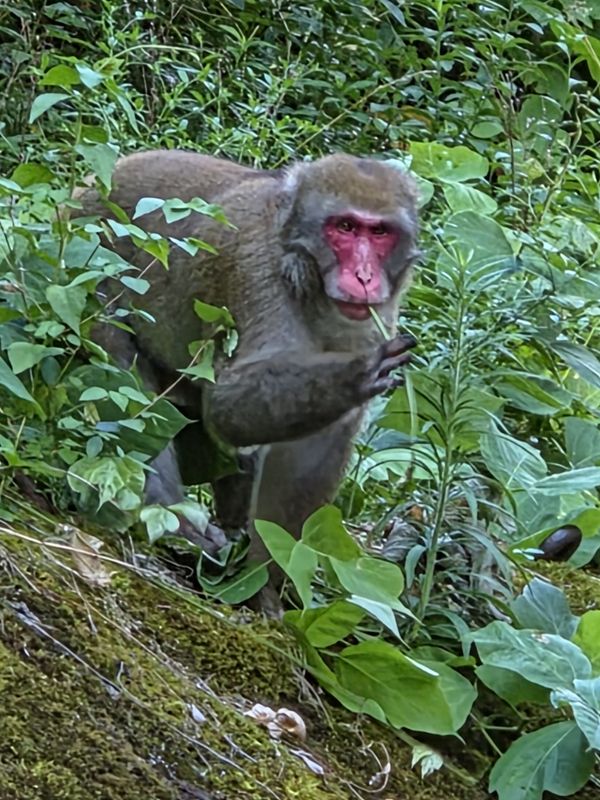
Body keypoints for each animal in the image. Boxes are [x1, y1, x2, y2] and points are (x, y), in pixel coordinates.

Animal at [75, 150, 420, 609]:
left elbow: (309, 450)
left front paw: (265, 584)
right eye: (345, 227)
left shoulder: (375, 314)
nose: (364, 276)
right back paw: (177, 523)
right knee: (123, 380)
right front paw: (355, 373)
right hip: (93, 263)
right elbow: (226, 403)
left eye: (379, 232)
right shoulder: (254, 270)